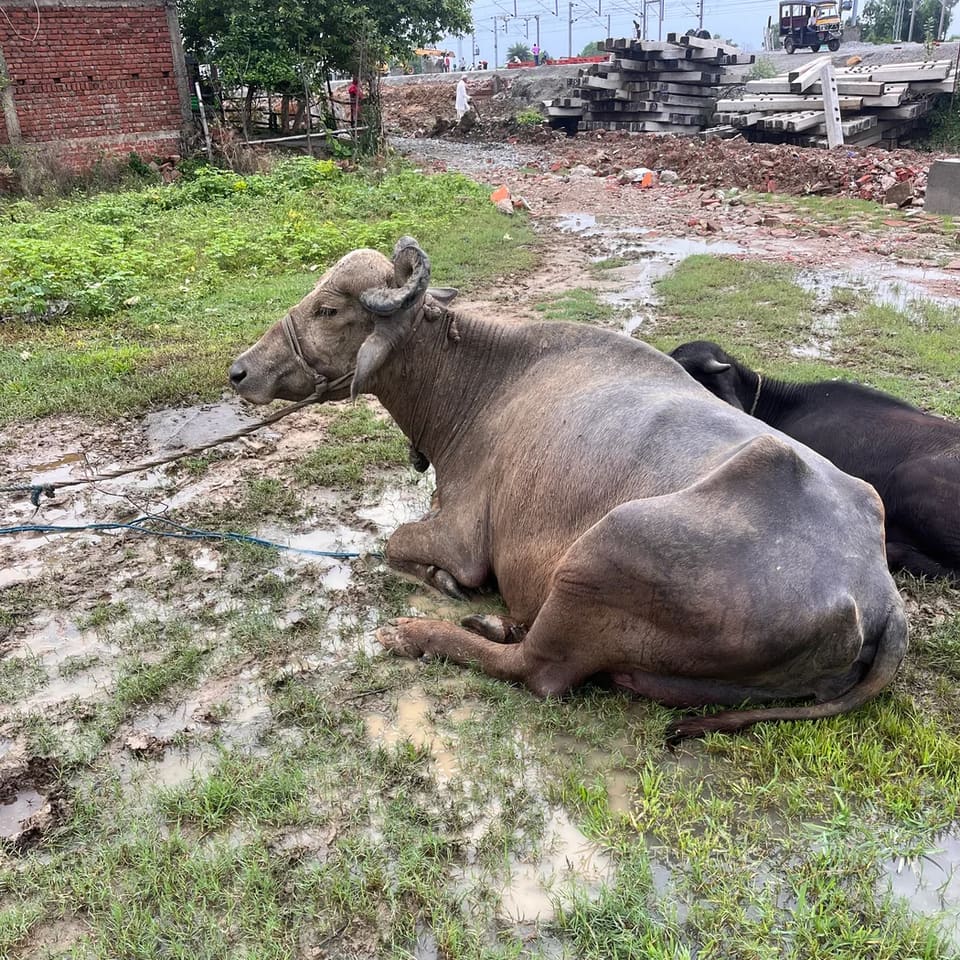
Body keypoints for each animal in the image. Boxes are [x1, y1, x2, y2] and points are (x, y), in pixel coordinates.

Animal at [230, 238, 907, 739]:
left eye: (327, 309)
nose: (239, 371)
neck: (479, 386)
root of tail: (875, 594)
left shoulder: (463, 537)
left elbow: (400, 543)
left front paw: (440, 583)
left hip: (605, 550)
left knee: (538, 670)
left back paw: (420, 634)